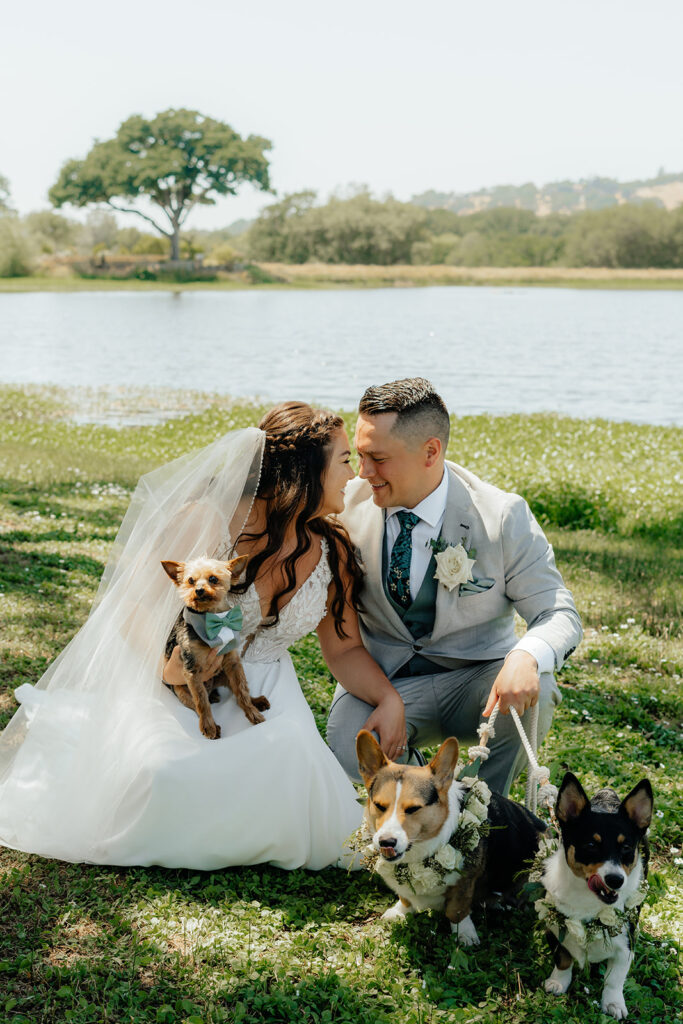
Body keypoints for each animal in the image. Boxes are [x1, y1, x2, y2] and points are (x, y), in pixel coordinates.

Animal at [358, 733, 544, 946]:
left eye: (413, 809)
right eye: (379, 806)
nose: (386, 842)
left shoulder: (465, 882)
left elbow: (456, 909)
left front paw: (464, 934)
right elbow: (405, 896)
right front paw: (400, 911)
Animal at [540, 770, 651, 1019]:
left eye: (626, 848)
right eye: (591, 845)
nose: (616, 880)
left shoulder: (626, 944)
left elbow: (615, 979)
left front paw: (613, 1003)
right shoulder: (556, 928)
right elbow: (563, 958)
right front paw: (558, 982)